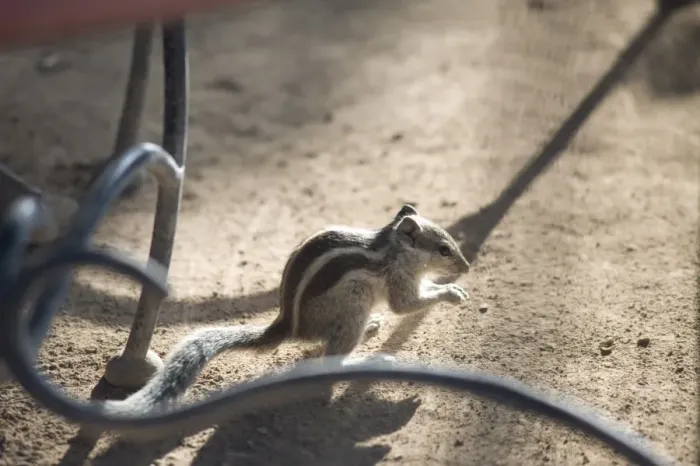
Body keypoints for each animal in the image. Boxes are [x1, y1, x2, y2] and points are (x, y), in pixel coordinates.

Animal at [100, 204, 471, 416]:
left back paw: (371, 329)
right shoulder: (397, 280)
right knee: (332, 358)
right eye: (443, 249)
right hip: (354, 302)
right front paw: (450, 293)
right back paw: (370, 357)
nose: (466, 267)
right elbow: (406, 305)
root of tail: (291, 326)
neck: (393, 248)